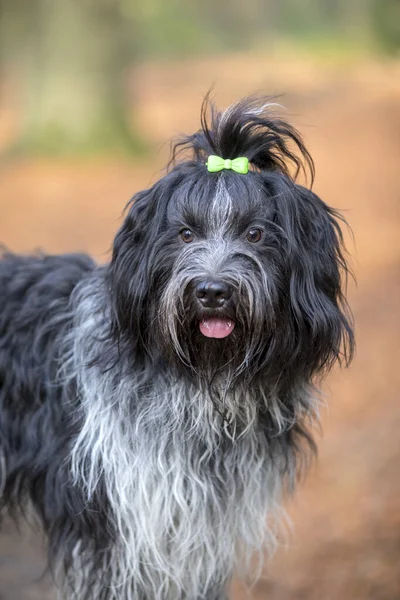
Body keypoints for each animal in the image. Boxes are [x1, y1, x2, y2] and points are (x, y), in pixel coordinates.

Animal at [0, 96, 354, 596]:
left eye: (255, 233)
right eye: (185, 233)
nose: (212, 291)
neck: (204, 382)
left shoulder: (200, 529)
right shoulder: (117, 528)